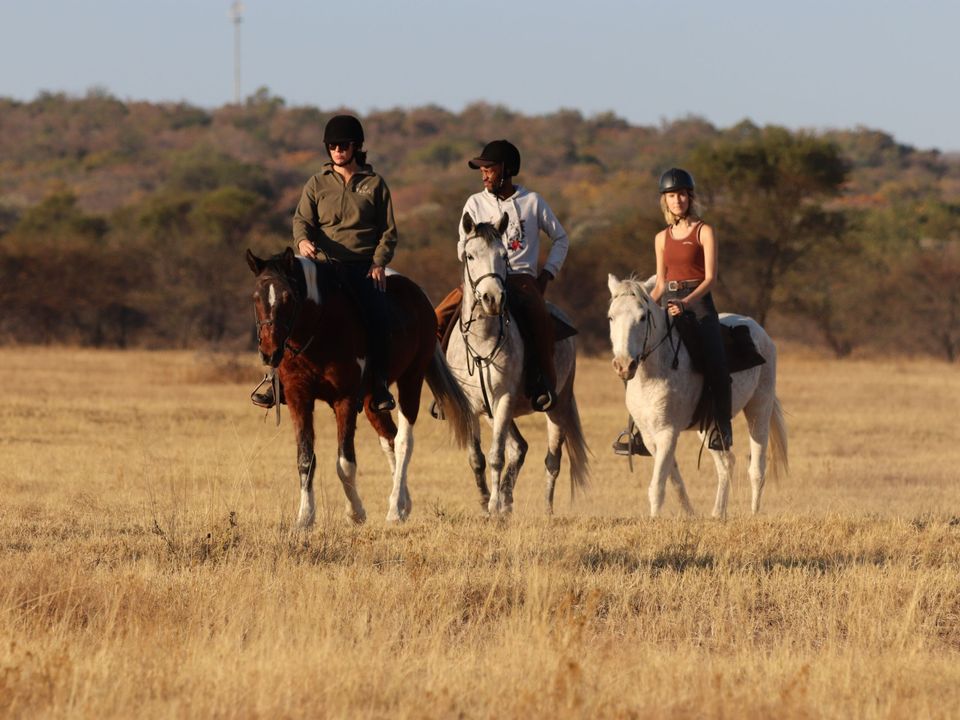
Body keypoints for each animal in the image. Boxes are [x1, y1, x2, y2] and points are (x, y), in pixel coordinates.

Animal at [246, 248, 472, 527]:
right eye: (256, 297)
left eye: (288, 297)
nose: (269, 352)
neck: (319, 328)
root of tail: (420, 295)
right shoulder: (299, 398)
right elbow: (305, 459)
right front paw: (305, 517)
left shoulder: (344, 399)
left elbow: (345, 463)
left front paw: (355, 512)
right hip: (372, 401)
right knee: (389, 438)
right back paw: (403, 503)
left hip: (411, 380)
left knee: (403, 441)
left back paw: (394, 510)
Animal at [444, 214, 590, 516]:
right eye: (470, 255)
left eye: (503, 255)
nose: (493, 299)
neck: (483, 341)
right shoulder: (472, 406)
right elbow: (477, 457)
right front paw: (486, 504)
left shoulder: (504, 399)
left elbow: (496, 456)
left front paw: (493, 505)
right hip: (493, 413)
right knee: (519, 447)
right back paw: (507, 502)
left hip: (557, 406)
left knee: (552, 460)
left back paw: (545, 509)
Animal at [606, 274, 788, 519]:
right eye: (611, 317)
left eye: (643, 317)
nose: (624, 365)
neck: (654, 371)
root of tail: (758, 329)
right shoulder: (649, 436)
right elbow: (673, 479)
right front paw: (689, 515)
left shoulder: (667, 432)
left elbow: (657, 486)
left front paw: (654, 520)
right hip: (709, 425)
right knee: (726, 464)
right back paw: (718, 513)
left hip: (759, 408)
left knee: (757, 468)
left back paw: (753, 514)